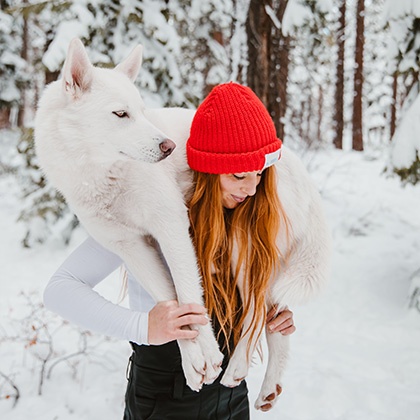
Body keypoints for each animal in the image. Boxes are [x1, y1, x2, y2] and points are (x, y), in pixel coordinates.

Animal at [35, 37, 332, 412]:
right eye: (121, 114)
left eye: (142, 111)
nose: (169, 146)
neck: (103, 177)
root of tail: (294, 167)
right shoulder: (131, 246)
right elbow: (173, 302)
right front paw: (194, 360)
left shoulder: (171, 224)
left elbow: (189, 292)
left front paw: (209, 356)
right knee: (273, 320)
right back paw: (269, 387)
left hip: (242, 246)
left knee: (255, 310)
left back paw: (237, 366)